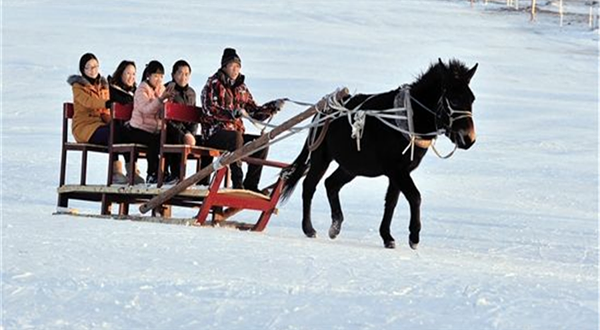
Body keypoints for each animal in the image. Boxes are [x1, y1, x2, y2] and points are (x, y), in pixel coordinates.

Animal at [282, 59, 478, 249]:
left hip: (352, 166)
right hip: (321, 157)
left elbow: (391, 202)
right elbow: (415, 197)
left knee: (331, 184)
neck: (406, 117)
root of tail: (321, 111)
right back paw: (309, 228)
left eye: (472, 99)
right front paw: (414, 237)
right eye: (453, 100)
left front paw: (387, 237)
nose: (469, 138)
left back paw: (335, 226)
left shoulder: (400, 171)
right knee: (309, 186)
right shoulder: (397, 170)